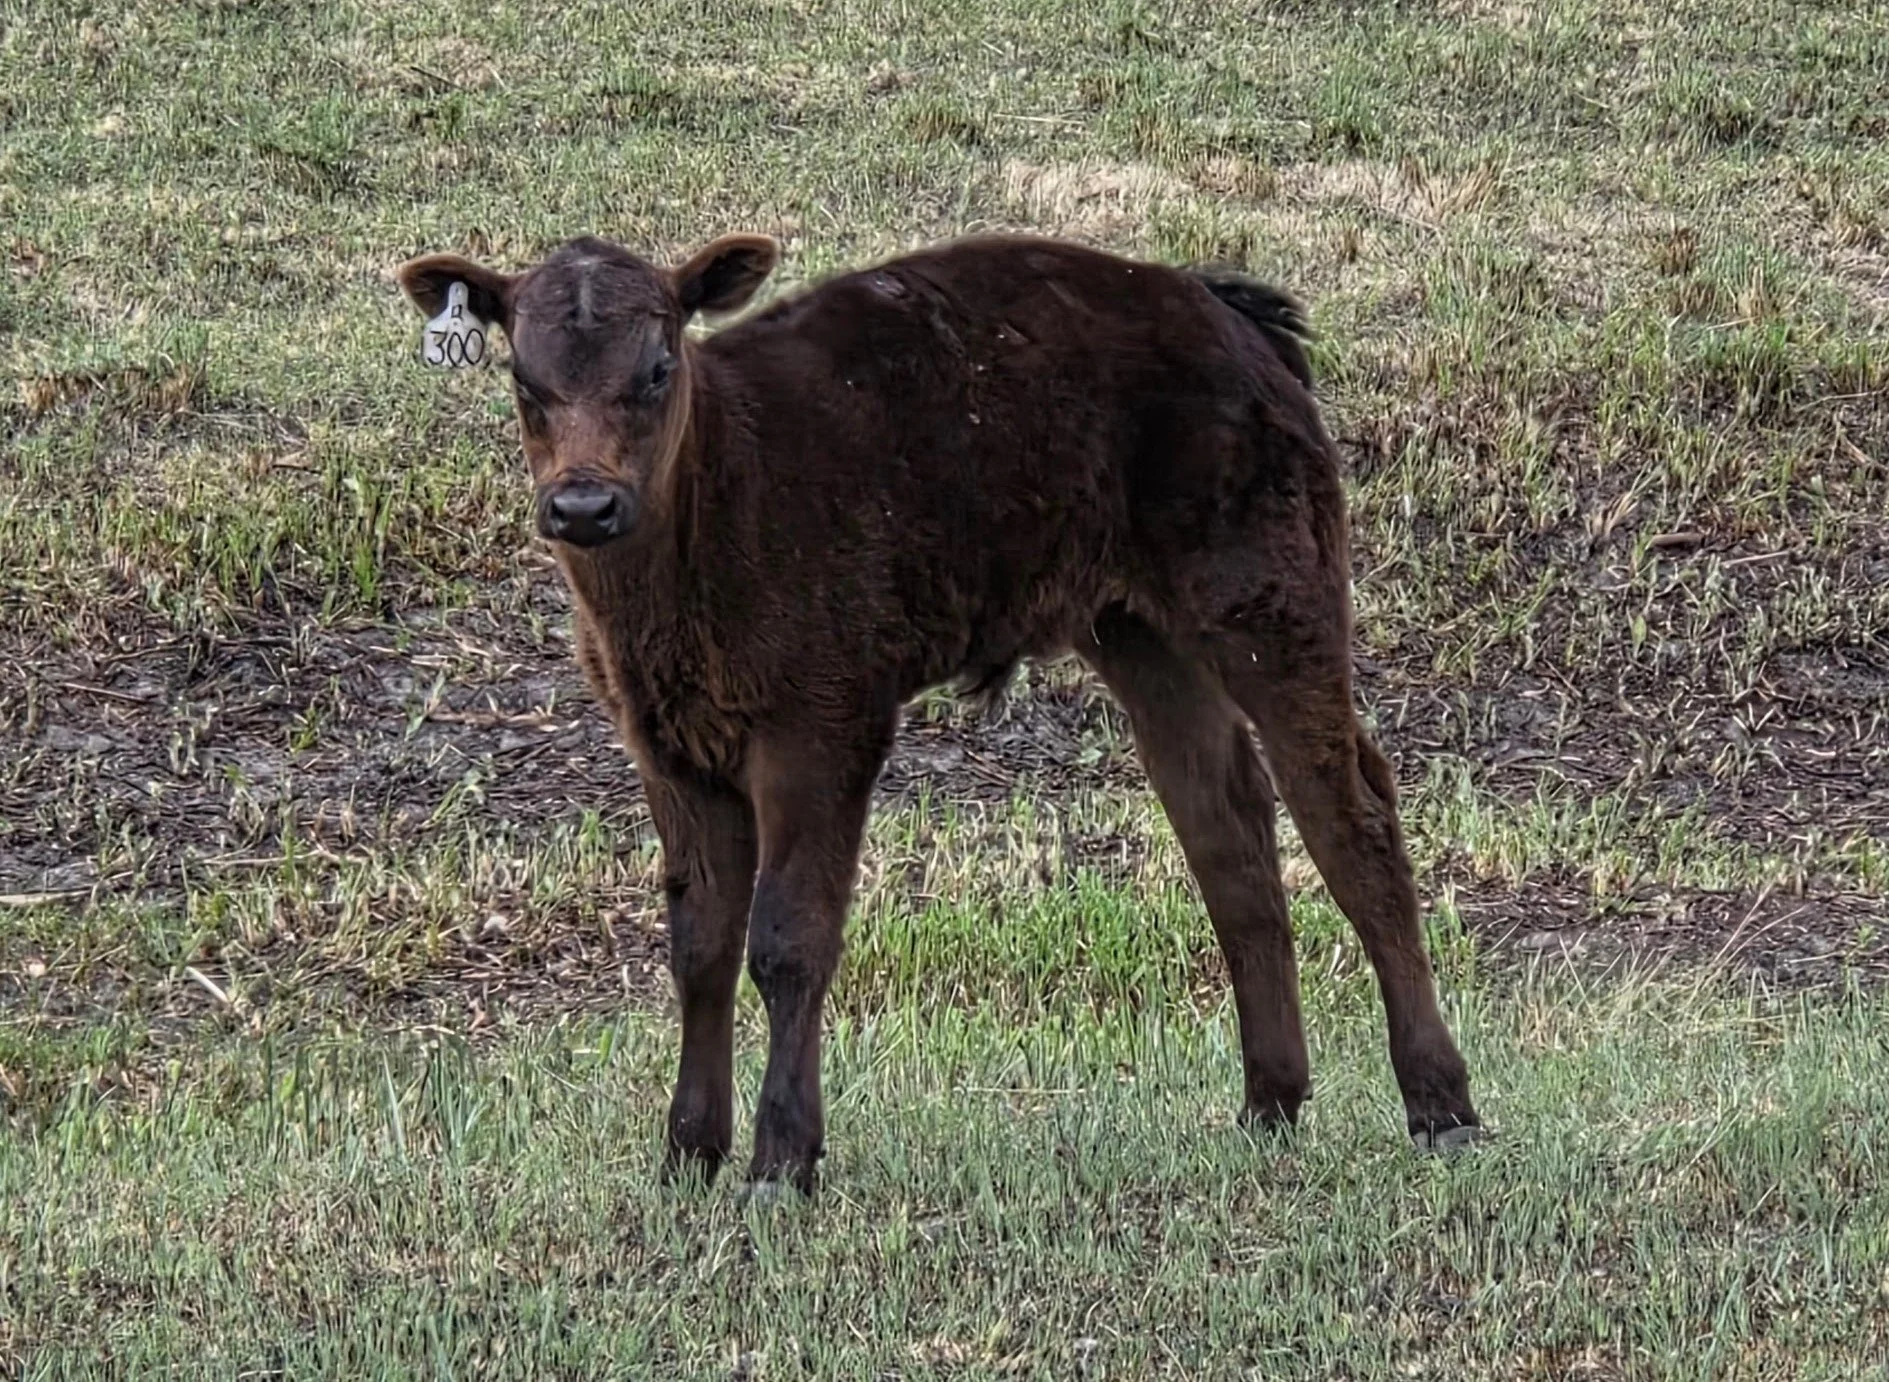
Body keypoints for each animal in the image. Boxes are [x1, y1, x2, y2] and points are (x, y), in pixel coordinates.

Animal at [395, 231, 1482, 1194]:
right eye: (522, 377)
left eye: (659, 367)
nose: (583, 506)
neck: (722, 487)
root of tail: (1221, 308)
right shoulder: (667, 746)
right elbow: (697, 943)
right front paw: (687, 1156)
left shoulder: (821, 724)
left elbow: (787, 938)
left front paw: (780, 1163)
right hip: (1139, 631)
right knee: (1227, 828)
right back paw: (1269, 1104)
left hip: (1269, 598)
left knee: (1348, 816)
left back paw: (1440, 1107)